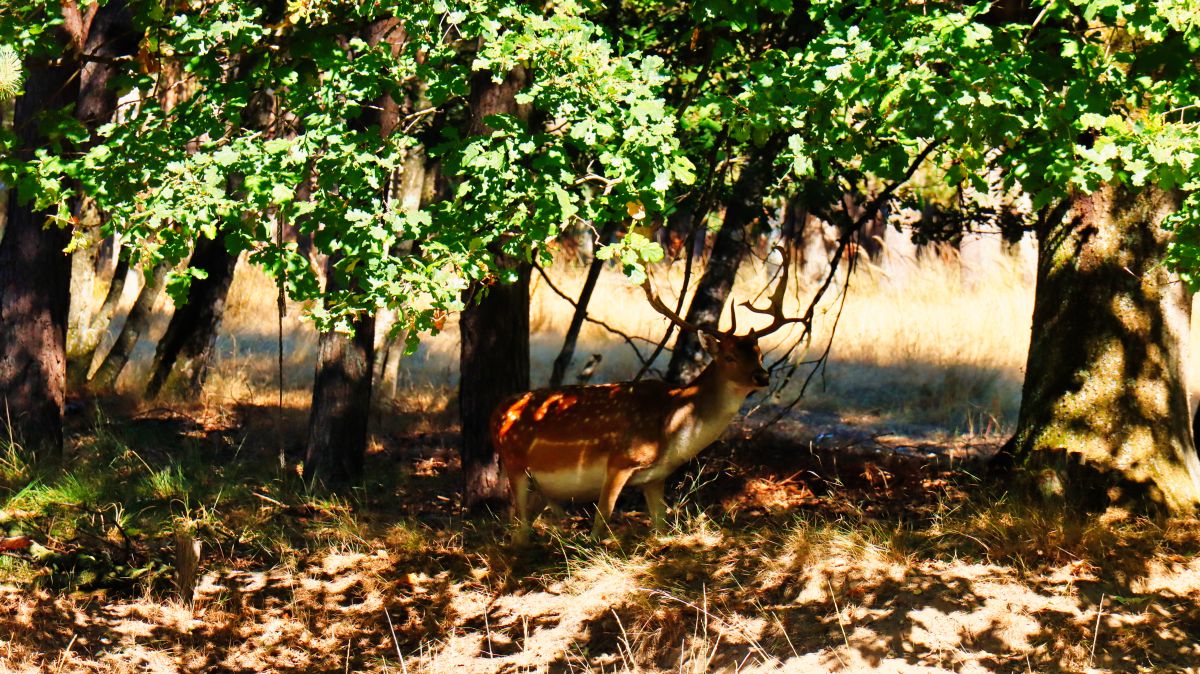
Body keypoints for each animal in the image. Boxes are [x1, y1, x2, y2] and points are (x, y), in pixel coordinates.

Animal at [487, 267, 796, 539]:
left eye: (759, 354)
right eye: (729, 356)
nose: (762, 376)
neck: (670, 427)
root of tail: (496, 413)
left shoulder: (655, 477)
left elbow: (661, 526)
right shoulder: (621, 460)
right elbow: (601, 521)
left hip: (544, 487)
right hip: (515, 463)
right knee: (519, 528)